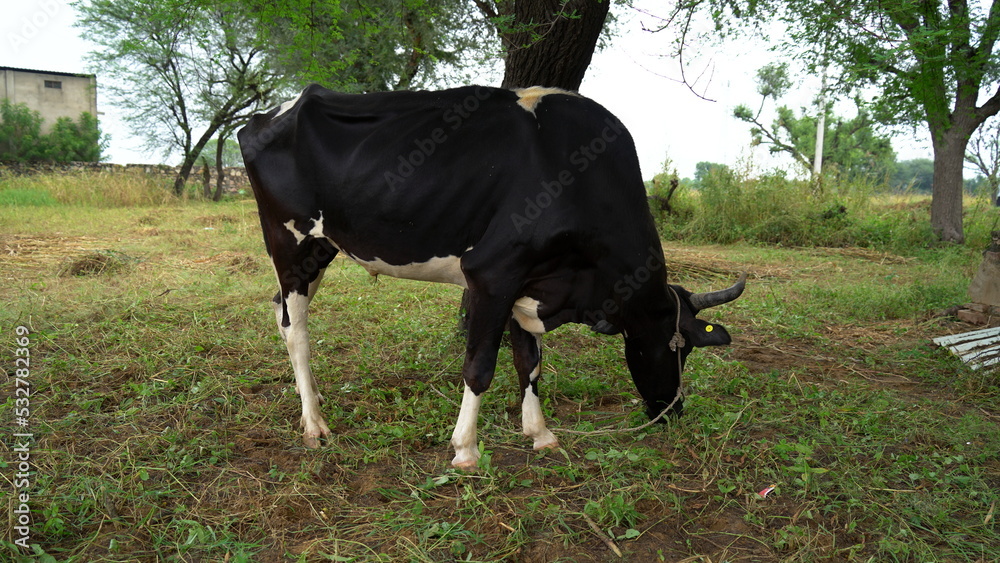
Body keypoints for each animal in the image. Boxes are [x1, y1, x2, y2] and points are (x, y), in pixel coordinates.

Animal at [238, 84, 746, 469]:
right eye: (679, 347)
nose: (672, 412)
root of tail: (273, 111)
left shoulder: (531, 283)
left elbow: (530, 361)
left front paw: (540, 433)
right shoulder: (492, 273)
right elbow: (480, 367)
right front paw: (465, 449)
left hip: (322, 249)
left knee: (280, 314)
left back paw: (314, 399)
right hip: (290, 243)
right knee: (297, 330)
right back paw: (314, 425)